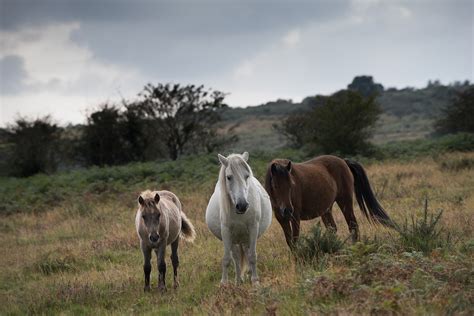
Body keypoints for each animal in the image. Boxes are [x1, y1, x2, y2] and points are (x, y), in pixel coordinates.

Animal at [206, 152, 272, 286]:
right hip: (234, 240)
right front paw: (224, 283)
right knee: (236, 257)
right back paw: (238, 281)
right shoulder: (226, 232)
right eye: (229, 177)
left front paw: (255, 281)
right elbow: (226, 259)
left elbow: (252, 256)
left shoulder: (253, 228)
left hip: (246, 238)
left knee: (247, 252)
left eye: (247, 176)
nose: (242, 205)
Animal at [262, 154, 392, 248]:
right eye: (275, 186)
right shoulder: (282, 219)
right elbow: (290, 242)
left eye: (291, 185)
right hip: (326, 210)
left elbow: (295, 240)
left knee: (353, 226)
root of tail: (343, 161)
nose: (287, 210)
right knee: (332, 229)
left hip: (345, 202)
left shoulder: (295, 217)